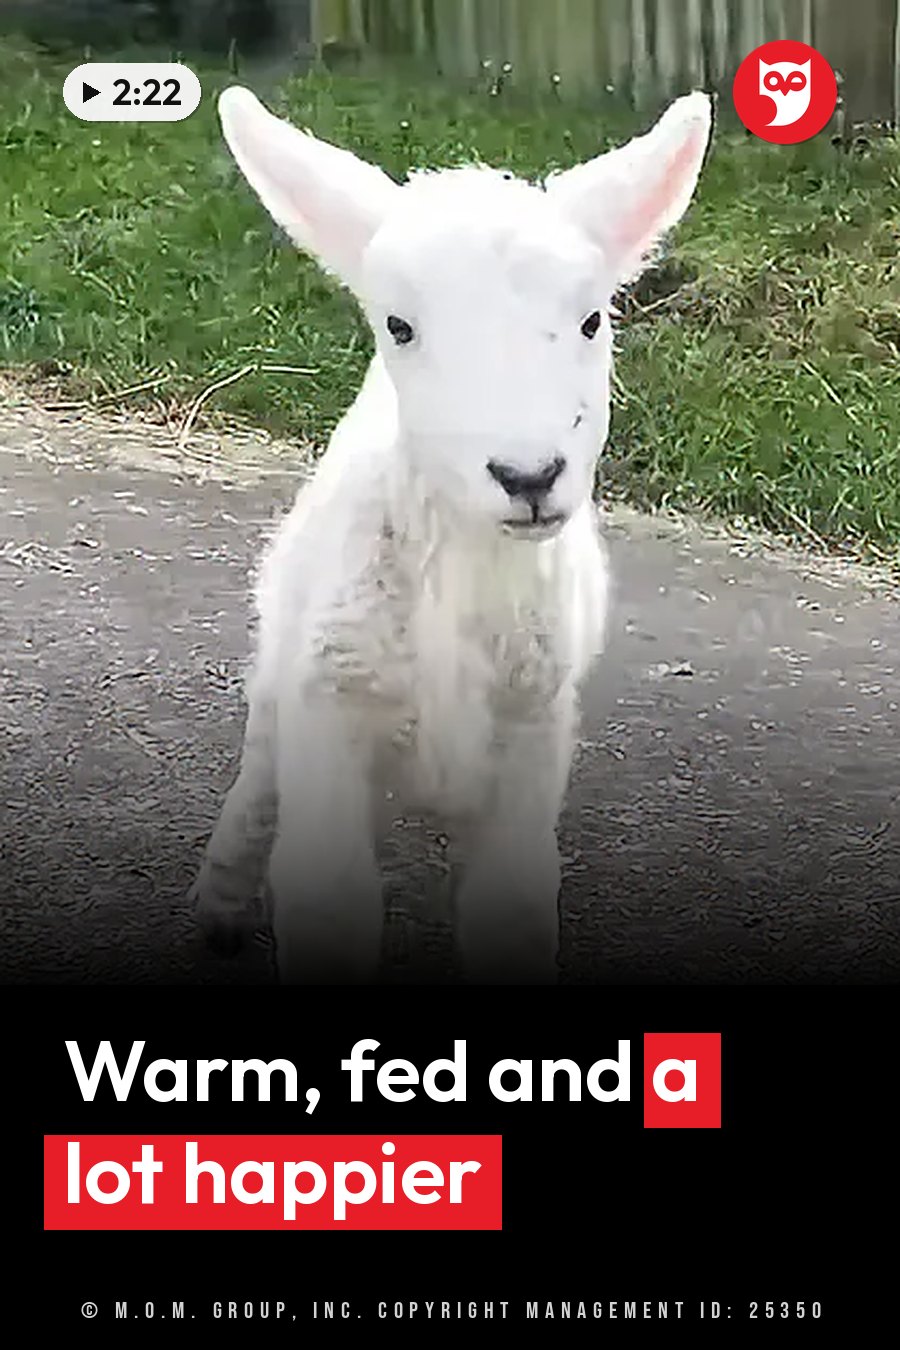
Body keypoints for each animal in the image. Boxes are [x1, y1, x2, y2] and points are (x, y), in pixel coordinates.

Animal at [193, 86, 712, 984]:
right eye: (398, 326)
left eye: (591, 320)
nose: (529, 476)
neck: (462, 567)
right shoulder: (329, 707)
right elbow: (329, 899)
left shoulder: (533, 727)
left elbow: (510, 906)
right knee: (259, 773)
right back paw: (218, 901)